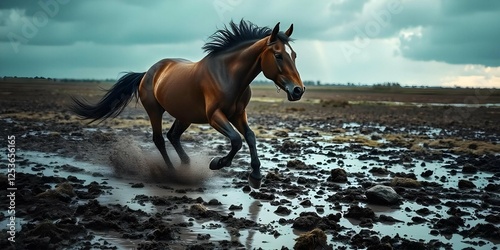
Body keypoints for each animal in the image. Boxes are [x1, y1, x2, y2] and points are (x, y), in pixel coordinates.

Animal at [70, 20, 304, 188]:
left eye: (294, 54)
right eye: (278, 55)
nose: (298, 90)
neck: (229, 75)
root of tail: (148, 72)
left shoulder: (239, 114)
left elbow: (250, 137)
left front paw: (255, 176)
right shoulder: (214, 116)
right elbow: (237, 140)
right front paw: (217, 163)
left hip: (185, 116)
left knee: (173, 136)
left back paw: (186, 165)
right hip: (155, 110)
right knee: (159, 139)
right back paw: (173, 173)